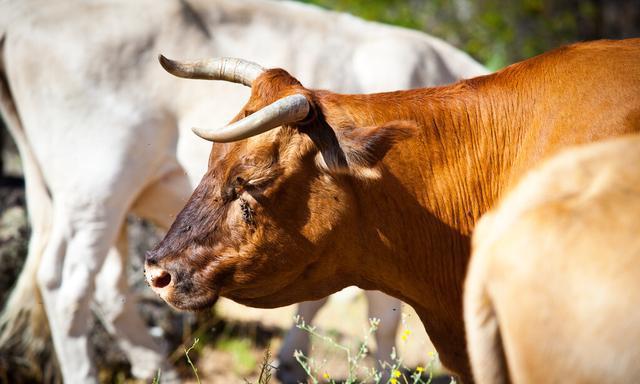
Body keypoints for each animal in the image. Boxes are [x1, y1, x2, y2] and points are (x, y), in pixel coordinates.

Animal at [0, 0, 482, 380]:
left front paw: (290, 363)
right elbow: (381, 316)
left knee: (107, 283)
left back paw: (155, 366)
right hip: (98, 184)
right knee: (67, 285)